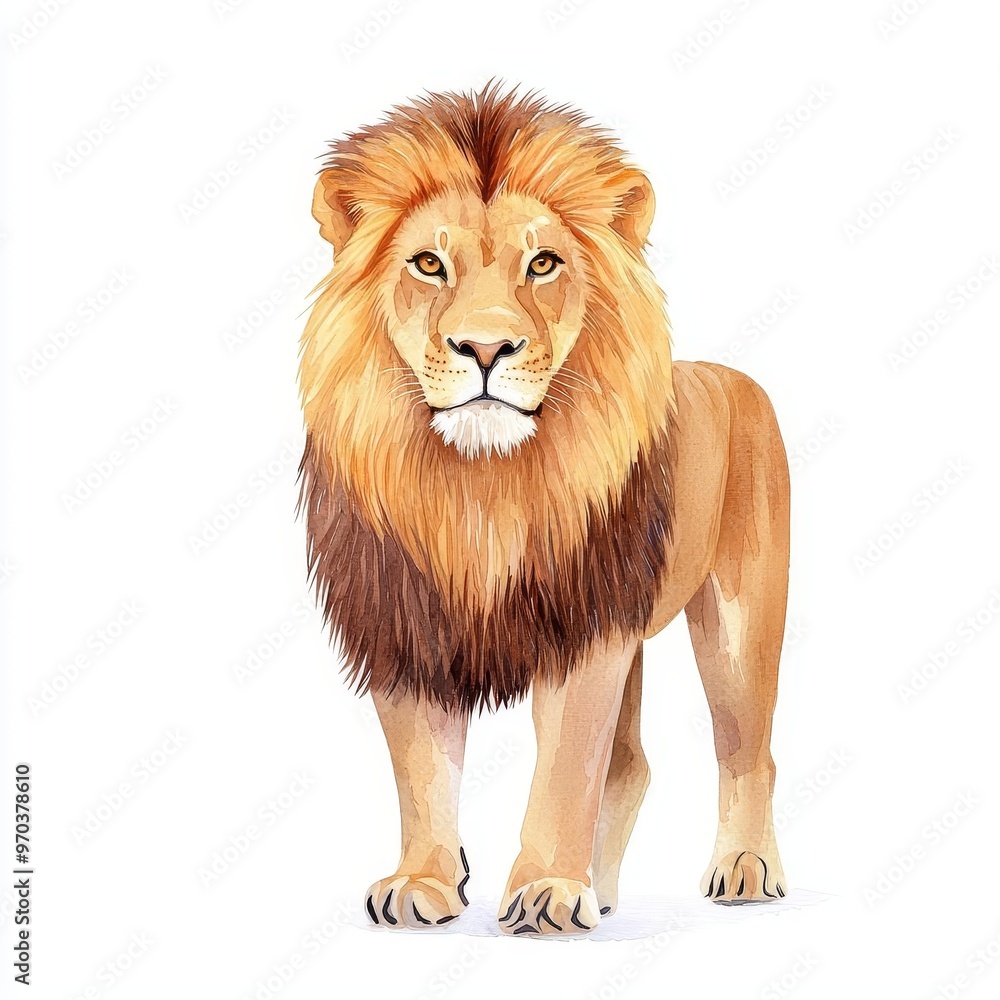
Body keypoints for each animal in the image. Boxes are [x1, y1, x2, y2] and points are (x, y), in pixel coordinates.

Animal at [298, 84, 790, 935]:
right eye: (429, 263)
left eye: (544, 262)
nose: (485, 349)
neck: (482, 485)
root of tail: (733, 377)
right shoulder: (406, 621)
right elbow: (423, 769)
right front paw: (426, 882)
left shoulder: (586, 629)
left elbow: (565, 770)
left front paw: (549, 891)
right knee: (630, 764)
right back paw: (606, 888)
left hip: (739, 622)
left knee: (746, 749)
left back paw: (745, 869)